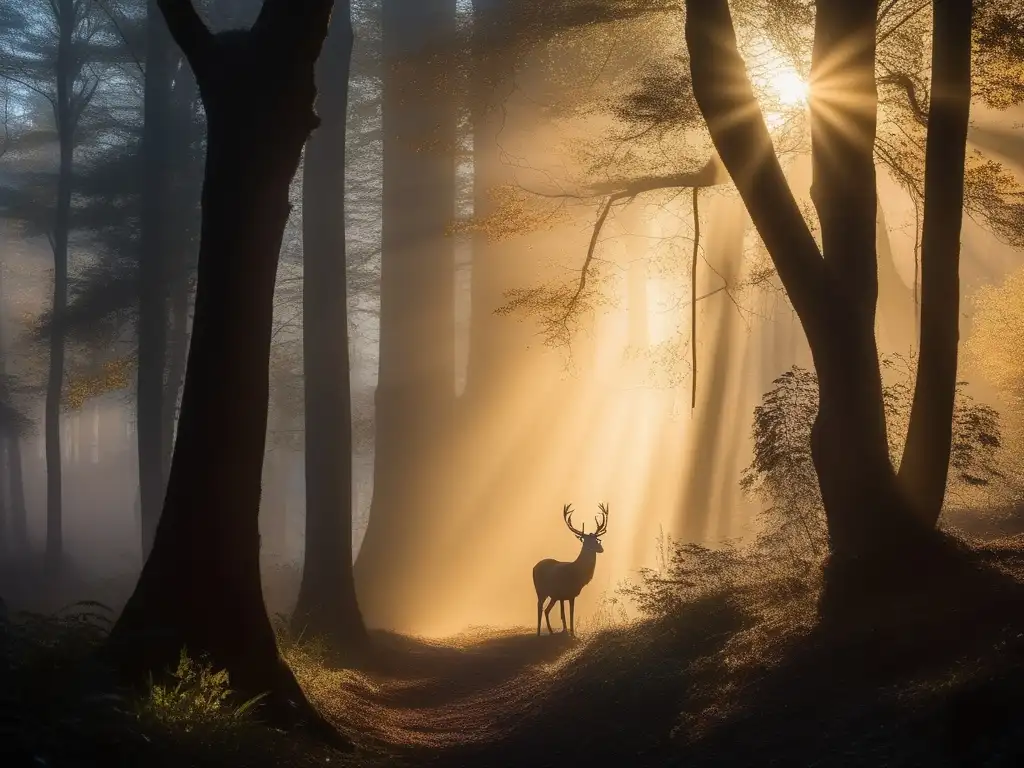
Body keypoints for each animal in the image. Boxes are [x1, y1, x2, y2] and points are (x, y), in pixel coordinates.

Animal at [528, 505, 606, 638]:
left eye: (596, 540)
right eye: (587, 541)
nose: (601, 549)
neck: (577, 573)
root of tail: (534, 567)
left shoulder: (566, 595)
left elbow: (567, 613)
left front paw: (570, 632)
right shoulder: (565, 594)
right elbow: (567, 613)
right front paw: (570, 633)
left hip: (552, 595)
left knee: (546, 610)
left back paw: (550, 631)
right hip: (540, 590)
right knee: (539, 607)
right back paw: (538, 633)